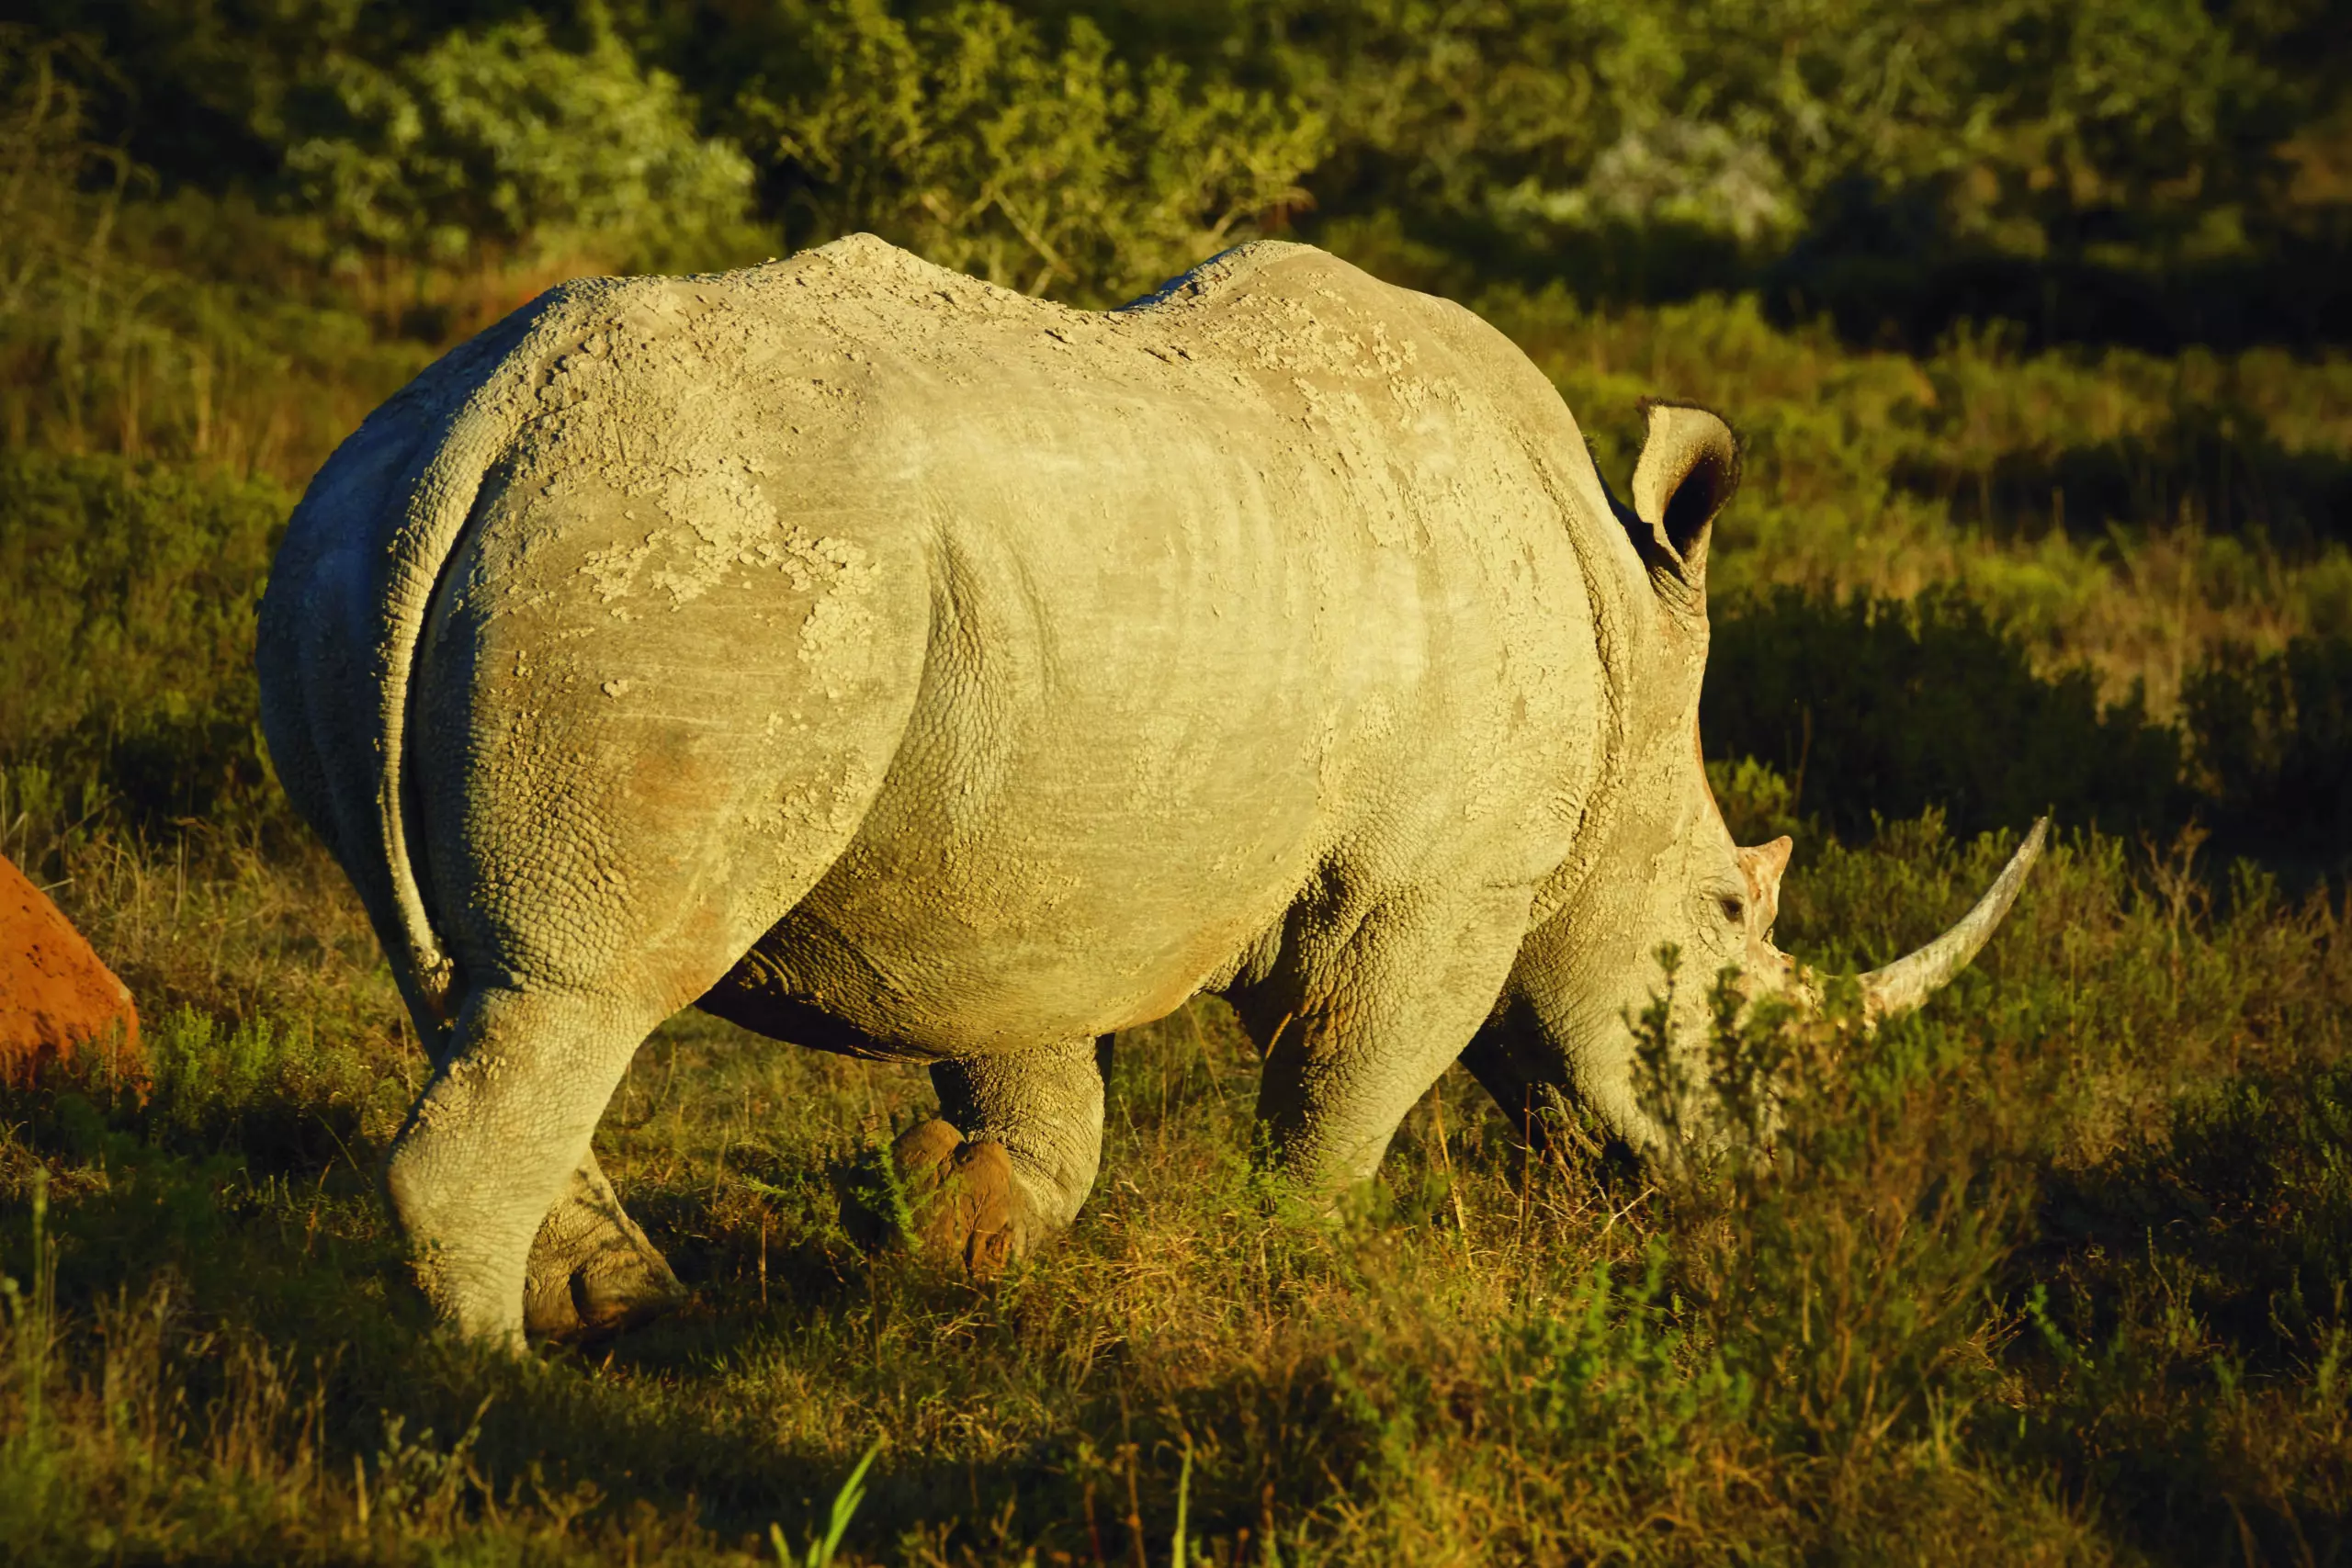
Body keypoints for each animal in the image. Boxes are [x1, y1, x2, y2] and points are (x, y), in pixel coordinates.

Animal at [256, 235, 2042, 1347]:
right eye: (1733, 921)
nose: (1762, 1184)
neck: (1622, 710)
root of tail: (482, 416)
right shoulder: (1439, 885)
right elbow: (1344, 1098)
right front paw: (1292, 1287)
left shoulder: (1011, 849)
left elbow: (1037, 1071)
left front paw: (954, 1228)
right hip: (697, 559)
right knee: (588, 982)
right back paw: (497, 1393)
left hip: (393, 541)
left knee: (487, 980)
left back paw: (618, 1311)